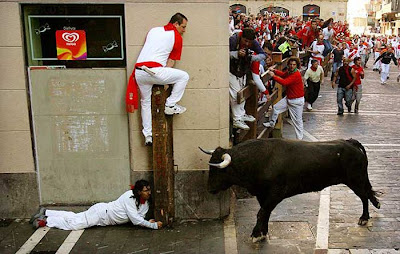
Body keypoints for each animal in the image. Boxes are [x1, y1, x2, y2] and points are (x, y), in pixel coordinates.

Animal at [200, 138, 382, 243]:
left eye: (219, 170)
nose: (209, 189)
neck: (260, 159)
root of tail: (350, 142)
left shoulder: (275, 193)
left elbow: (262, 212)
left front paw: (256, 234)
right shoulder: (262, 194)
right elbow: (265, 212)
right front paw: (263, 232)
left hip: (355, 180)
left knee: (364, 196)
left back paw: (364, 218)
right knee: (367, 193)